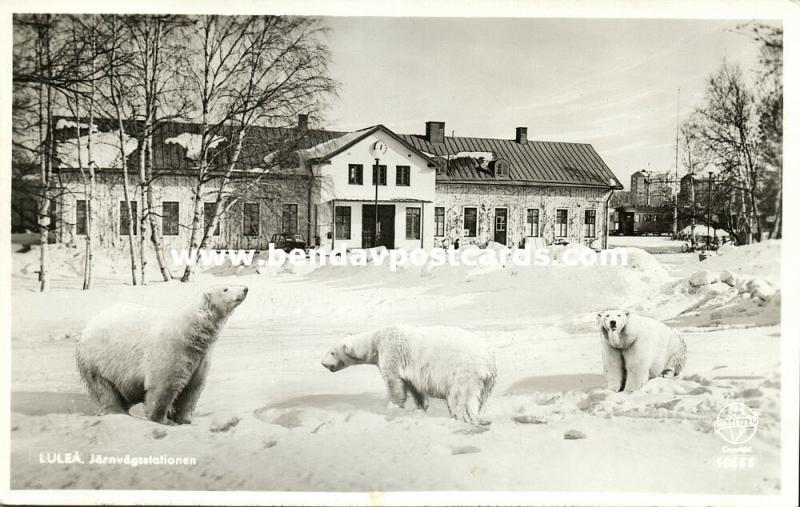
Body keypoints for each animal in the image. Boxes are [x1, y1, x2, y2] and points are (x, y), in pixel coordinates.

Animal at [77, 286, 250, 424]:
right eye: (225, 288)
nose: (245, 289)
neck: (190, 332)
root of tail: (88, 327)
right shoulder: (172, 350)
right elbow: (163, 386)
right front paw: (160, 420)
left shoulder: (200, 358)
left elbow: (192, 389)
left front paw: (184, 419)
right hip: (97, 362)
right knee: (105, 390)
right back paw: (117, 412)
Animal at [322, 324, 496, 426]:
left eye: (332, 352)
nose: (323, 363)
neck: (377, 338)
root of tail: (488, 359)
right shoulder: (412, 370)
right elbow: (414, 387)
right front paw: (419, 408)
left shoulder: (391, 352)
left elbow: (393, 382)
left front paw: (392, 407)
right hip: (487, 381)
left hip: (463, 370)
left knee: (462, 396)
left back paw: (465, 418)